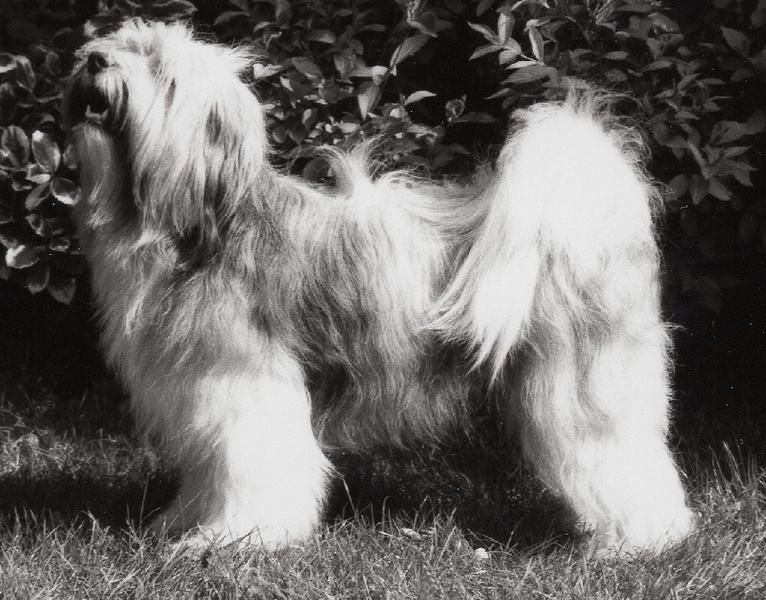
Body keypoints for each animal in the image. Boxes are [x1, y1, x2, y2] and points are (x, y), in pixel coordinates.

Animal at [64, 18, 696, 552]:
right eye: (120, 42)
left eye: (159, 66)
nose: (92, 57)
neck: (195, 231)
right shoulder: (200, 391)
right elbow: (208, 470)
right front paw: (184, 524)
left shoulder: (248, 387)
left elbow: (255, 469)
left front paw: (236, 540)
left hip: (582, 382)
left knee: (619, 453)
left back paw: (644, 540)